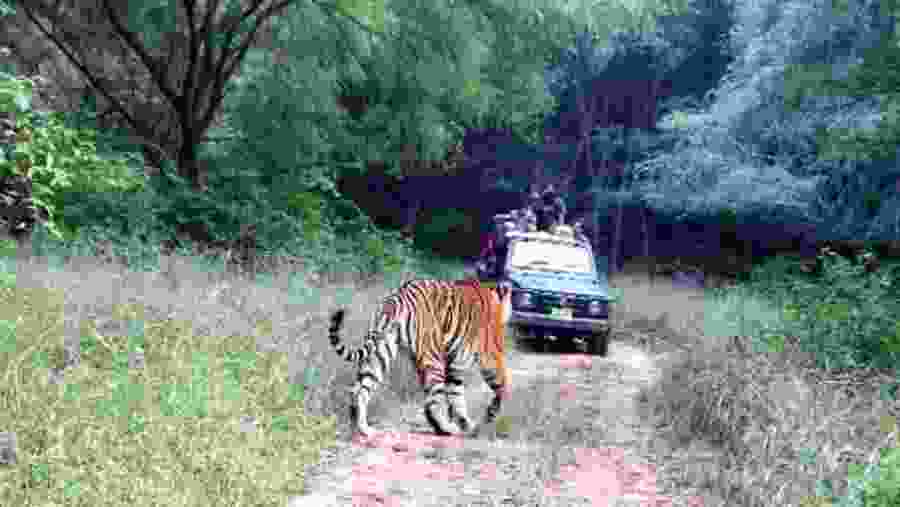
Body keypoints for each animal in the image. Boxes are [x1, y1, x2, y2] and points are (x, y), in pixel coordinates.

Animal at [328, 278, 513, 438]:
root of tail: (398, 297)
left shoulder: (456, 363)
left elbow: (456, 394)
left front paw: (467, 424)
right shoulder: (489, 356)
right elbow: (500, 385)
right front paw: (488, 416)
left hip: (379, 353)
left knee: (359, 391)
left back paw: (362, 428)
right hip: (432, 357)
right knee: (433, 401)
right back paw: (447, 428)